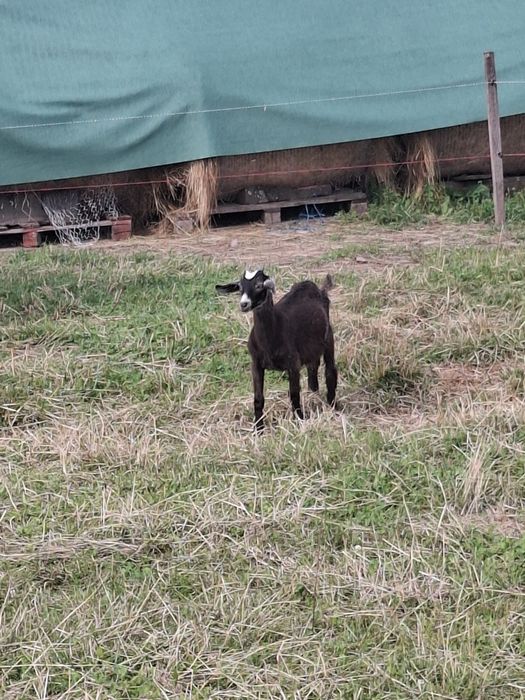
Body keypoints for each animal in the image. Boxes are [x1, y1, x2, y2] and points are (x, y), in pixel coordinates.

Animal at [216, 269, 337, 431]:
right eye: (240, 287)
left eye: (259, 286)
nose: (244, 304)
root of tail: (315, 287)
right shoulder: (256, 364)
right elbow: (258, 398)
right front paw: (258, 429)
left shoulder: (293, 364)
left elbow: (294, 395)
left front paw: (300, 421)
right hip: (311, 349)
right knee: (313, 369)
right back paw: (314, 395)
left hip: (328, 338)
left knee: (330, 372)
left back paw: (332, 407)